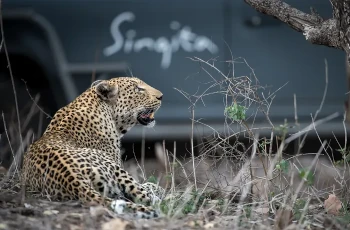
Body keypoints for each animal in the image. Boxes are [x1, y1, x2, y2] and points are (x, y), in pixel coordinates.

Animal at [22, 76, 166, 218]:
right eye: (138, 89)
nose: (161, 96)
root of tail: (74, 180)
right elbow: (149, 186)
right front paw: (159, 188)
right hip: (116, 169)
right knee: (147, 197)